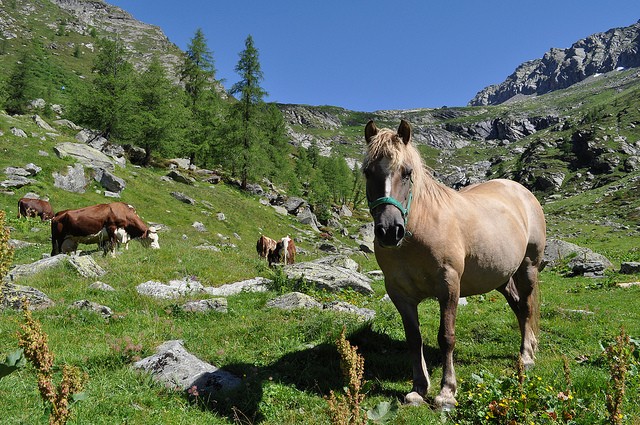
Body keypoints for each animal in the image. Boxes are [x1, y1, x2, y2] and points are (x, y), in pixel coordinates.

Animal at [362, 119, 546, 409]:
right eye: (368, 172)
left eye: (407, 172)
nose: (390, 231)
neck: (420, 230)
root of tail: (522, 192)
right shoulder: (399, 294)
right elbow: (414, 339)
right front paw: (419, 388)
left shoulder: (448, 286)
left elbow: (446, 337)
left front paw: (446, 392)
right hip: (502, 278)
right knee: (518, 309)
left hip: (528, 267)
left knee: (526, 308)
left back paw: (526, 356)